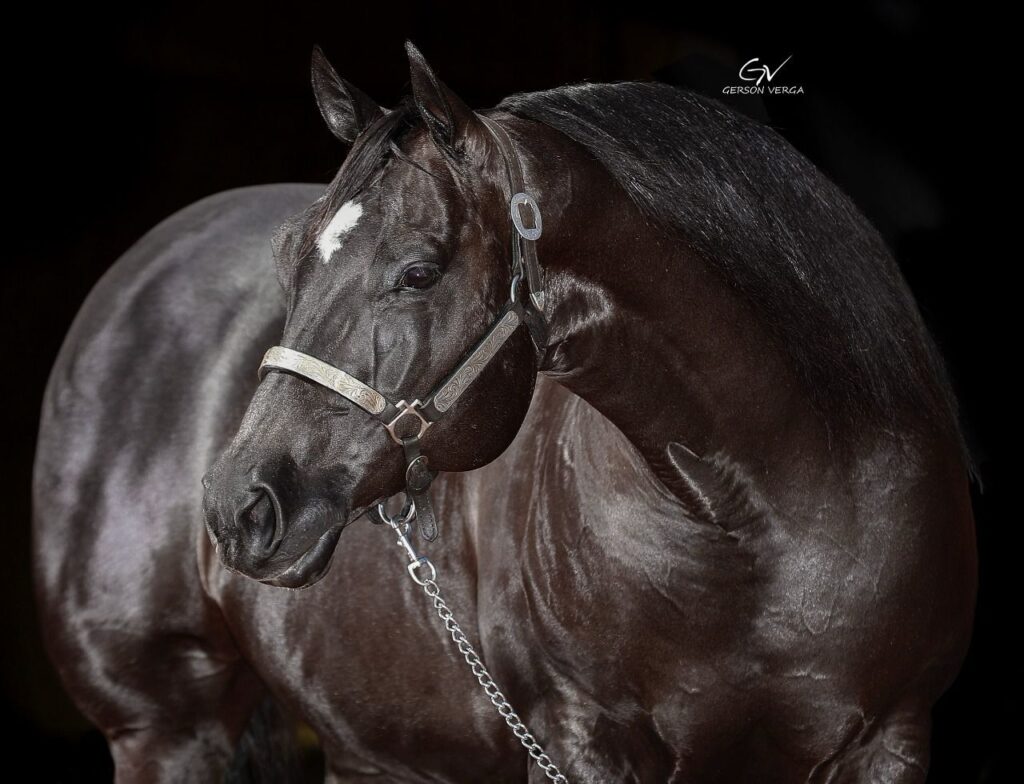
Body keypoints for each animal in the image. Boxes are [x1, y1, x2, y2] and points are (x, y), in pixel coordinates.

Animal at [32, 41, 978, 783]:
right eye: (290, 256)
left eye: (418, 271)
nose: (240, 507)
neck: (764, 521)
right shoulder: (582, 735)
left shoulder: (892, 740)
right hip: (164, 728)